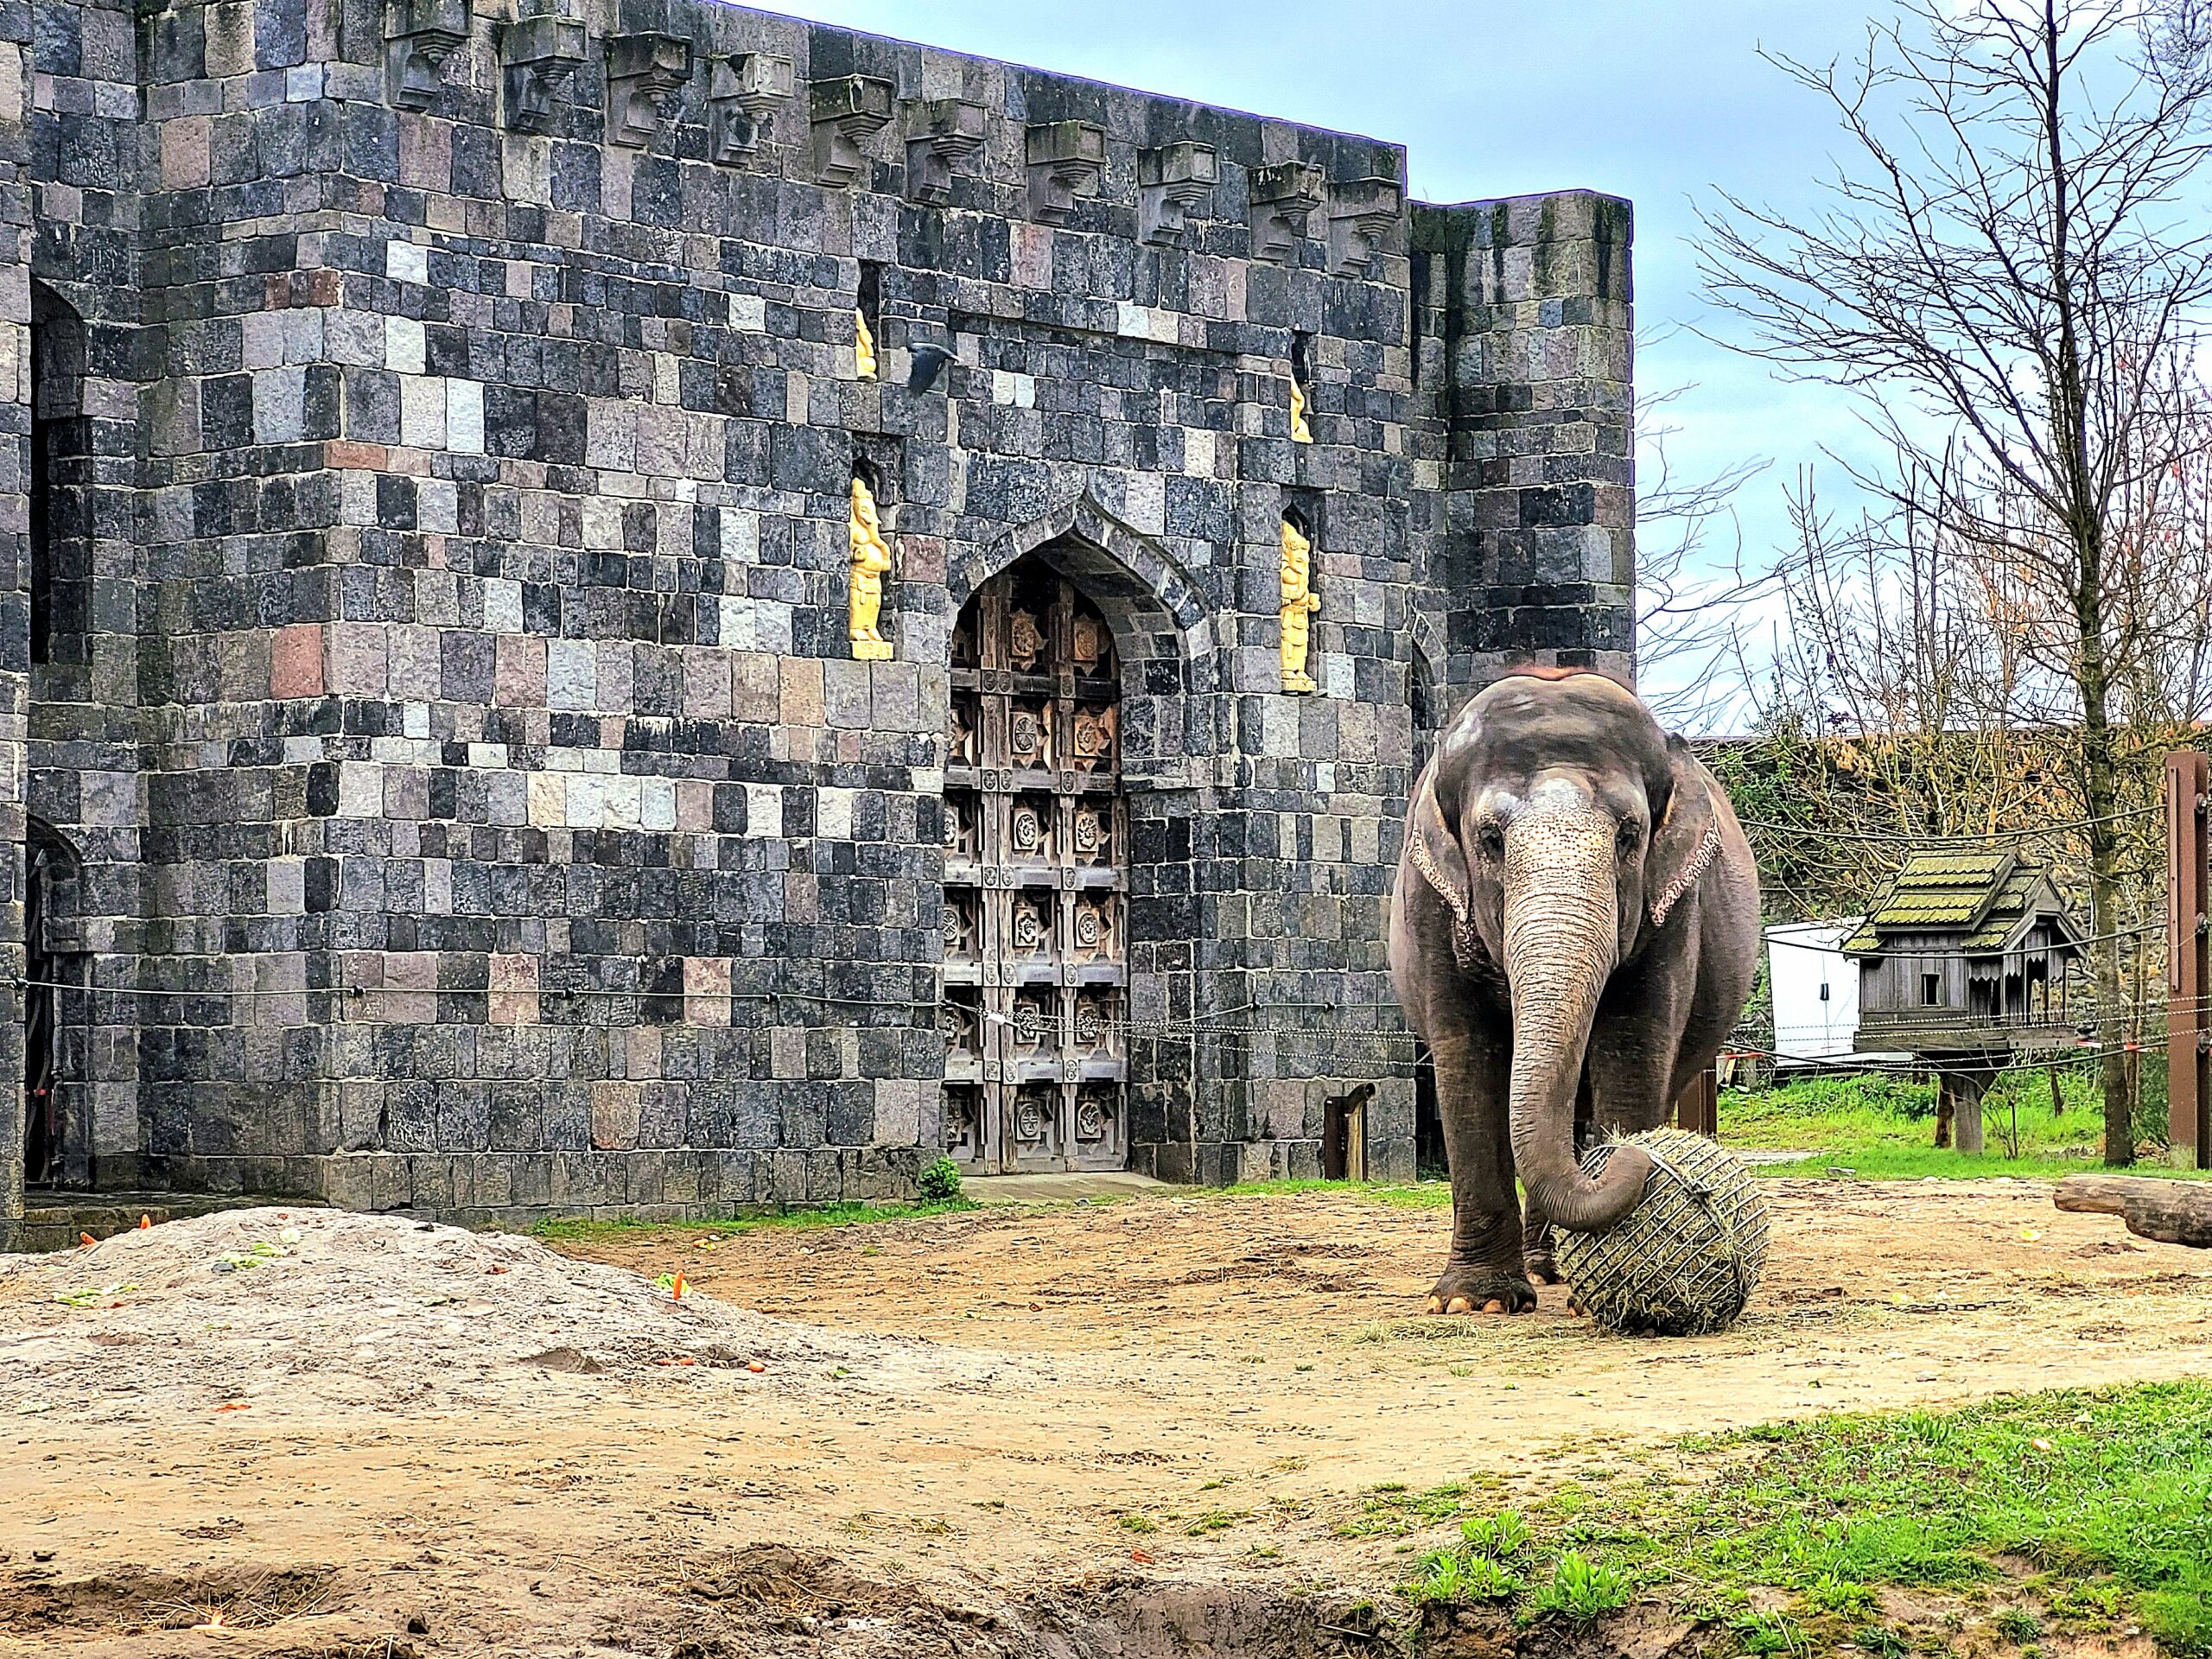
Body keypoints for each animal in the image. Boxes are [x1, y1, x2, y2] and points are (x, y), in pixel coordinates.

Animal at [1380, 668, 1760, 1318]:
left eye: (1630, 835)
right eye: (1489, 839)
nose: (1637, 1157)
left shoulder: (1674, 908)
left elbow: (1634, 1044)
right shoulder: (1430, 903)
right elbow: (1466, 1056)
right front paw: (1476, 1303)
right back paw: (1539, 1267)